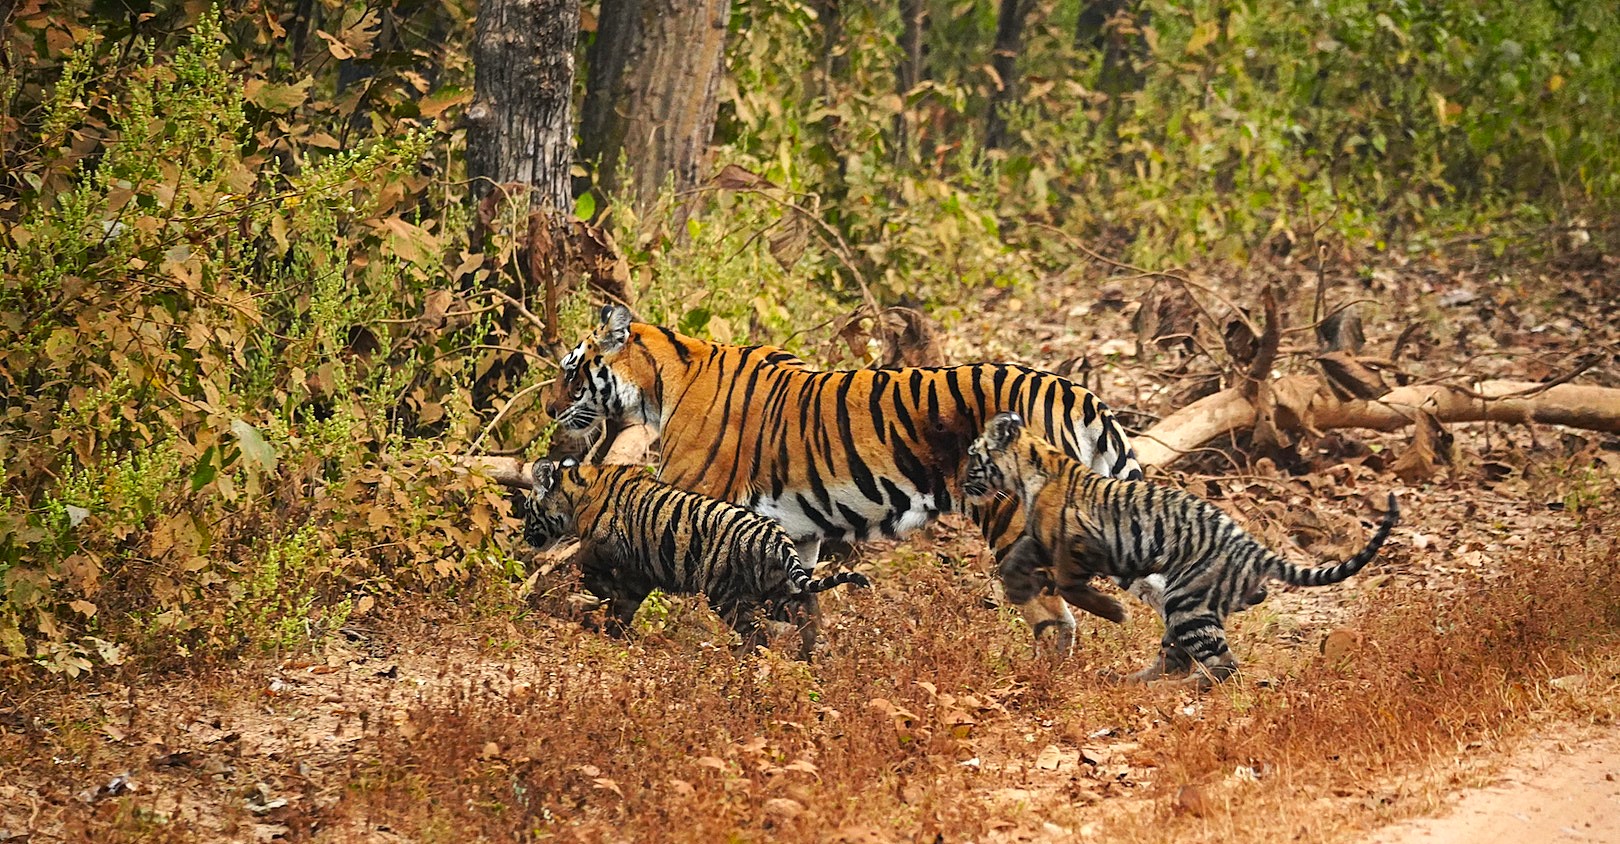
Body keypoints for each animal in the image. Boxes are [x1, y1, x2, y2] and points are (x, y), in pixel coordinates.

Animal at [517, 459, 870, 660]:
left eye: (528, 509)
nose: (524, 536)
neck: (576, 493)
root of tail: (774, 533)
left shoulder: (605, 545)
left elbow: (585, 568)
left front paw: (595, 600)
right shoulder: (639, 571)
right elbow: (625, 601)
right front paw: (615, 628)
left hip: (726, 594)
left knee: (758, 633)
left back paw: (739, 657)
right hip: (775, 591)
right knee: (805, 614)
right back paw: (811, 654)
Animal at [545, 304, 1147, 655]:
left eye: (570, 371)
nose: (550, 410)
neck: (660, 382)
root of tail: (1074, 390)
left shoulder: (688, 500)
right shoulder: (798, 530)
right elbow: (800, 597)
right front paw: (803, 657)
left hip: (1014, 520)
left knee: (1055, 618)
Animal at [964, 412, 1398, 689]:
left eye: (972, 455)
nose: (962, 483)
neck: (1028, 472)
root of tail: (1254, 549)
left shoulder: (1084, 541)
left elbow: (1072, 585)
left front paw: (1114, 612)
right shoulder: (1041, 540)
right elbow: (1019, 559)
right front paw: (1019, 592)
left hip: (1187, 600)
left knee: (1224, 666)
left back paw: (1174, 688)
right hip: (1186, 604)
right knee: (1183, 654)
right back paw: (1135, 680)